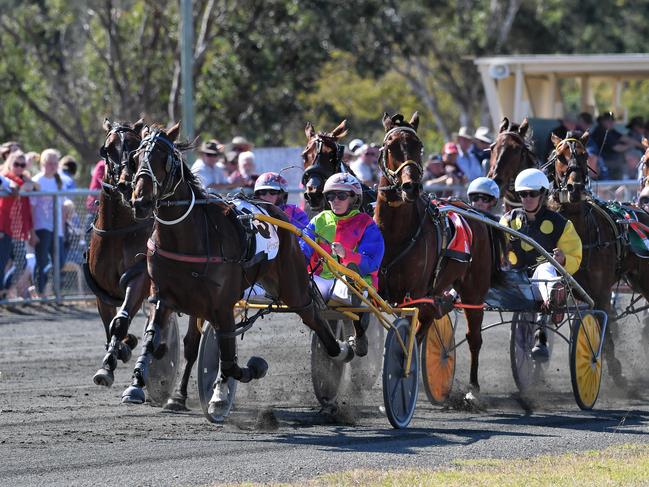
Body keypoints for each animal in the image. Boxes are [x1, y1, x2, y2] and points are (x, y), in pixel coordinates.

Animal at [123, 123, 354, 408]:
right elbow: (153, 337)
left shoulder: (221, 304)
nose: (140, 202)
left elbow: (229, 358)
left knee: (314, 317)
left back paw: (341, 351)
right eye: (135, 158)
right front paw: (136, 383)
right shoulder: (163, 296)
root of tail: (278, 214)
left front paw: (240, 379)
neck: (186, 236)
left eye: (164, 159)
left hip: (293, 286)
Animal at [374, 111, 502, 392]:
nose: (411, 187)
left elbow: (405, 333)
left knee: (473, 337)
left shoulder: (412, 294)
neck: (395, 235)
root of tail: (473, 212)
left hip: (474, 290)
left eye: (418, 146)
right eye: (390, 146)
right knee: (430, 319)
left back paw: (472, 388)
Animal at [544, 132, 648, 386]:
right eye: (560, 157)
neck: (580, 238)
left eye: (584, 155)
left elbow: (603, 326)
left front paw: (614, 370)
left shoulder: (600, 291)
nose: (575, 187)